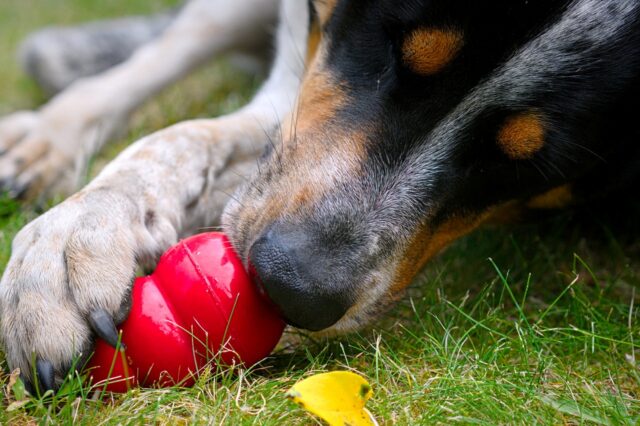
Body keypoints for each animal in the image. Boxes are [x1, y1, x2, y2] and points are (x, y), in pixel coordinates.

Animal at [1, 0, 640, 392]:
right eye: (389, 49)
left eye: (529, 167)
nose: (290, 286)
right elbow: (173, 135)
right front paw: (73, 237)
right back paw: (47, 135)